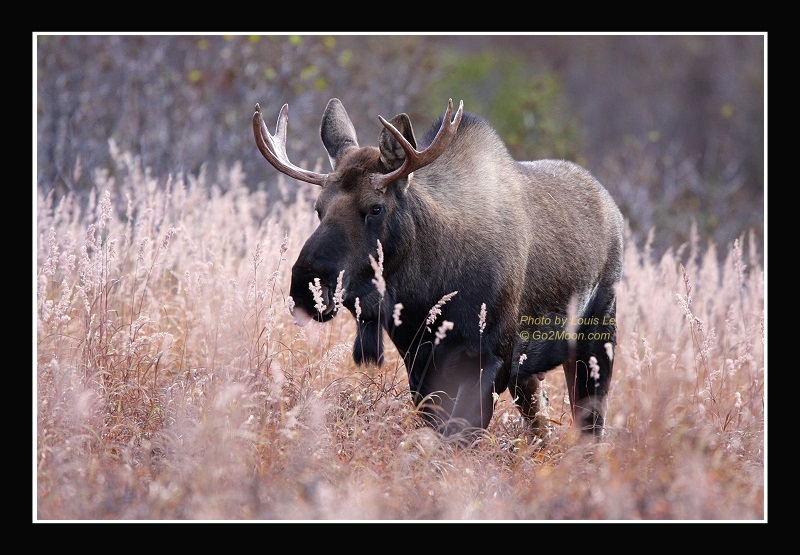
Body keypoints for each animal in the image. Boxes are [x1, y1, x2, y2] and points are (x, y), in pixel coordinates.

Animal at [253, 96, 620, 444]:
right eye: (319, 208)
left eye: (375, 208)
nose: (307, 287)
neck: (428, 290)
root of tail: (612, 209)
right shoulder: (421, 361)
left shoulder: (491, 359)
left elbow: (457, 437)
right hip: (529, 371)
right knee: (541, 421)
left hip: (597, 336)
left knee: (590, 427)